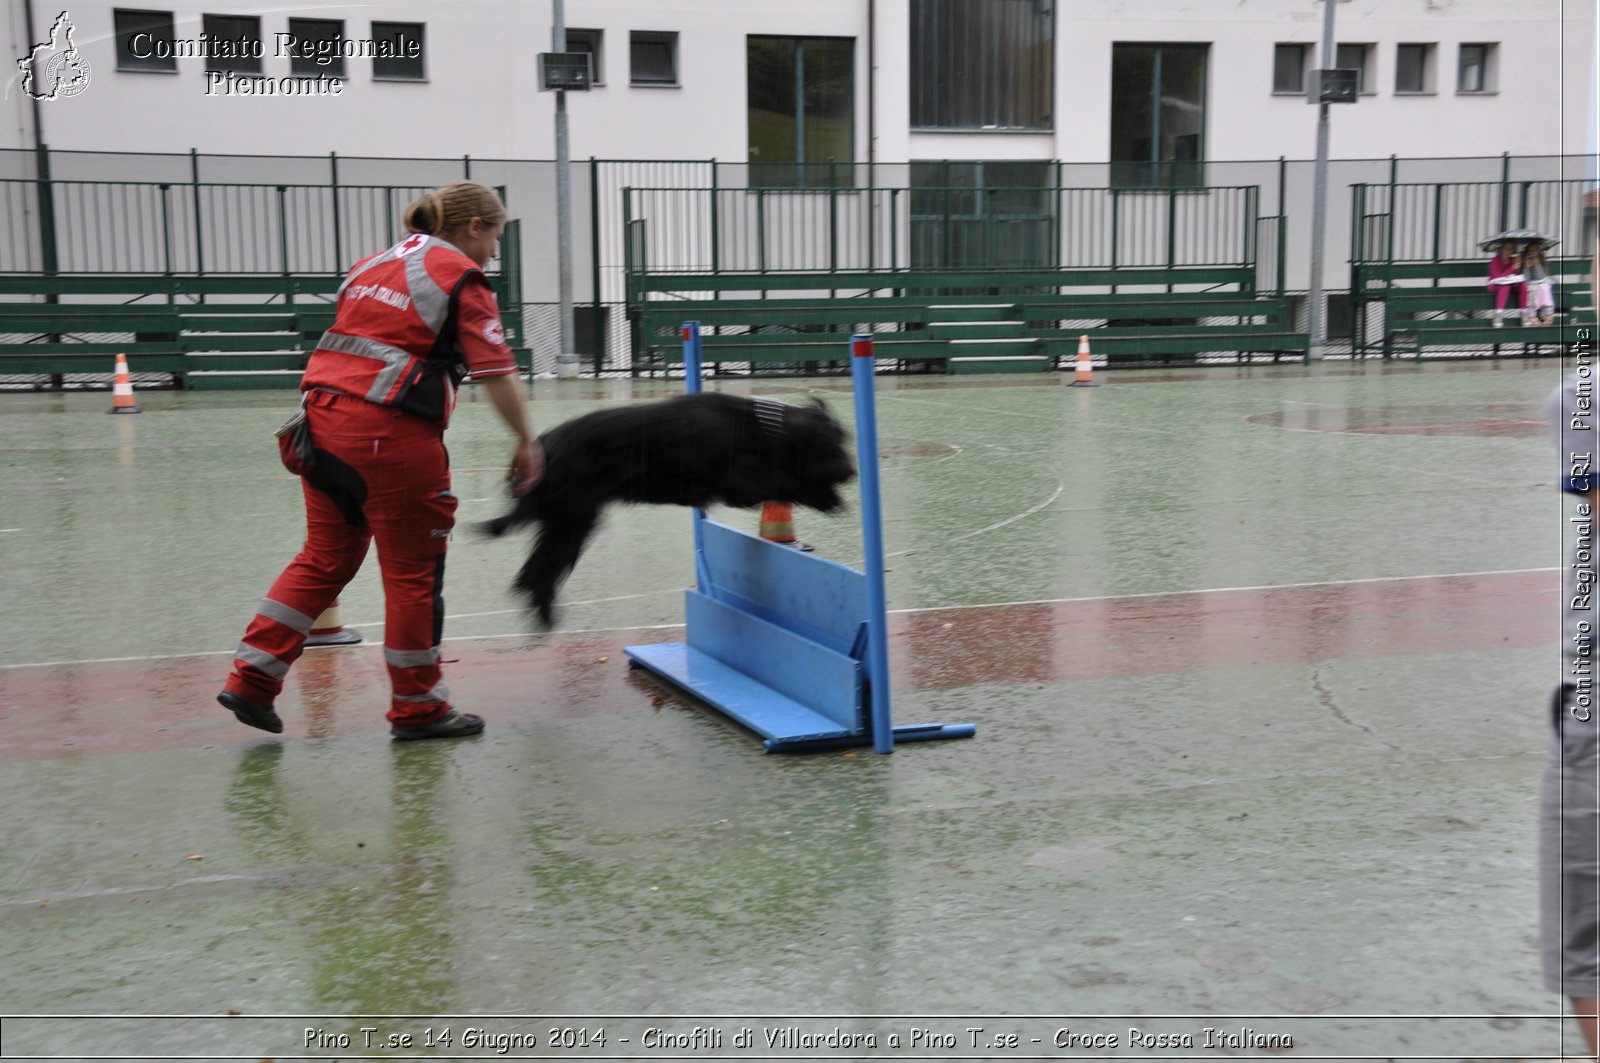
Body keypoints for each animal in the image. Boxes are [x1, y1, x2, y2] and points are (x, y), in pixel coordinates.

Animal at [480, 389, 857, 624]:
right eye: (830, 445)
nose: (851, 471)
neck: (757, 427)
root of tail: (538, 450)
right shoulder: (738, 485)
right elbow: (783, 482)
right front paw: (828, 499)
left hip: (570, 522)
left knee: (537, 568)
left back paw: (540, 609)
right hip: (572, 517)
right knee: (541, 567)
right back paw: (543, 612)